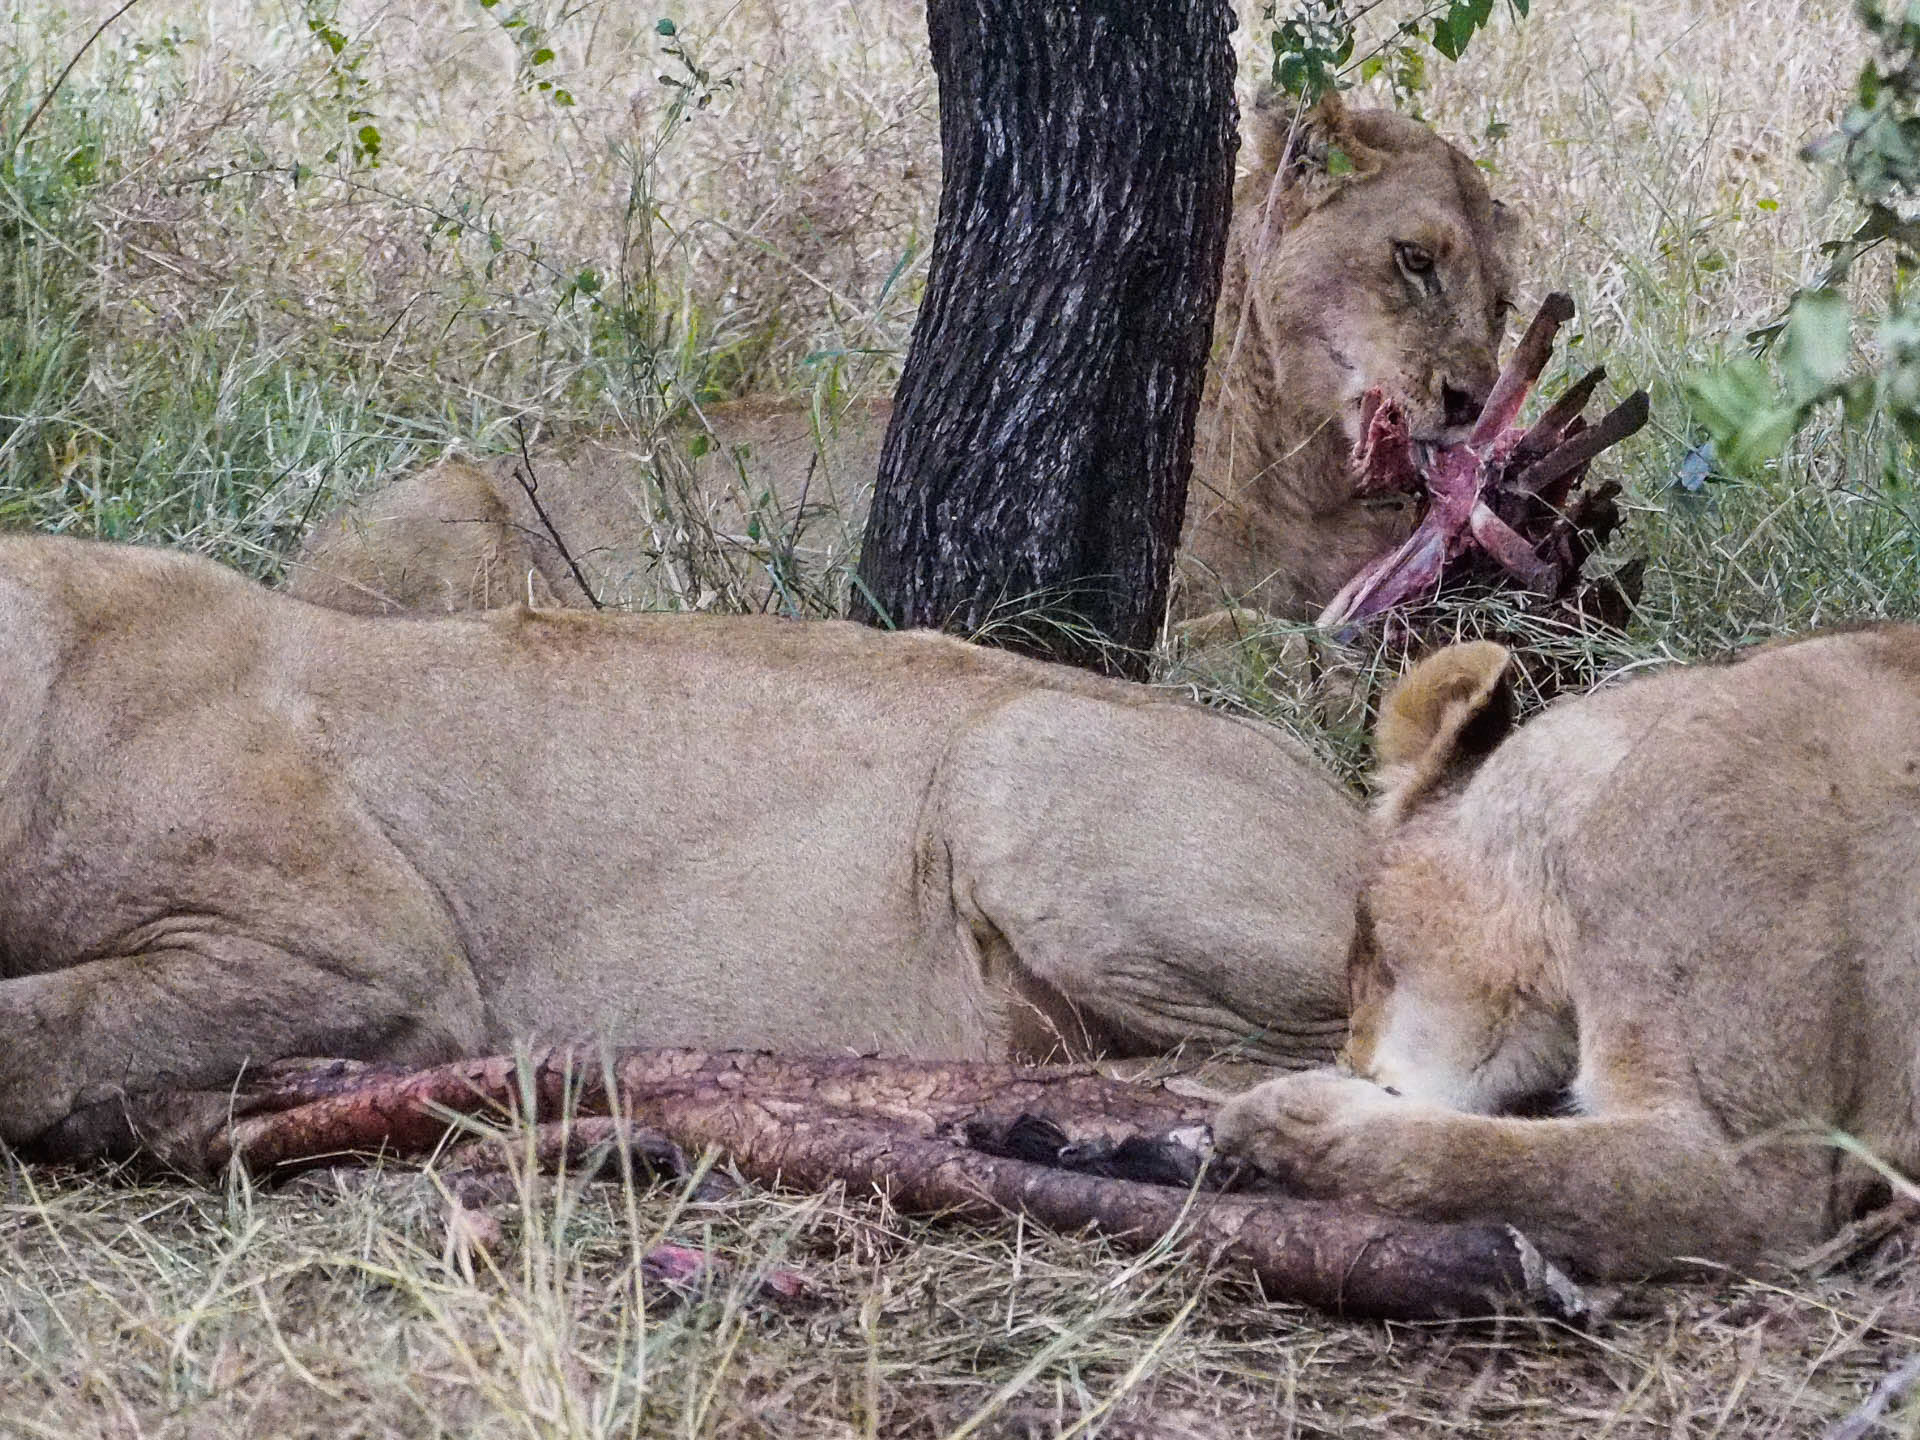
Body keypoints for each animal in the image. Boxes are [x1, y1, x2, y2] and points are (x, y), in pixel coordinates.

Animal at [285, 93, 1517, 625]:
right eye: (1413, 259)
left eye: (1503, 305)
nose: (1468, 399)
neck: (1305, 471)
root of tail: (297, 555)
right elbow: (1261, 638)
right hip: (458, 519)